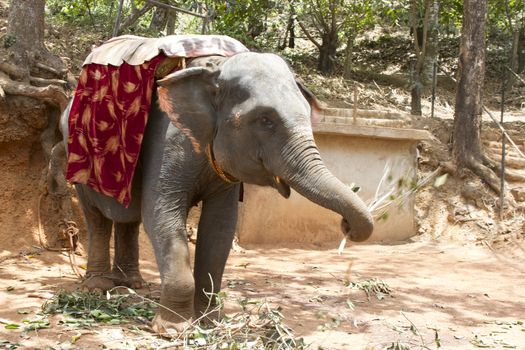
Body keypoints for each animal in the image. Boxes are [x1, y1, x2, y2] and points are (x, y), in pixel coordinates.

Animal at [60, 52, 372, 334]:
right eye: (265, 120)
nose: (346, 226)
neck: (216, 68)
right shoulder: (169, 143)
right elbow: (161, 214)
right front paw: (171, 329)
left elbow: (220, 226)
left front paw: (209, 322)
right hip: (75, 157)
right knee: (97, 217)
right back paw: (98, 287)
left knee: (129, 219)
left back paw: (132, 284)